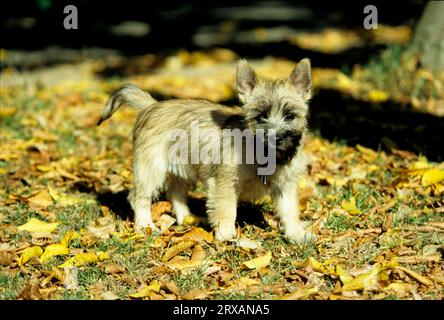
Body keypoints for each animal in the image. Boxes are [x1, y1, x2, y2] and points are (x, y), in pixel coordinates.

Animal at [98, 58, 312, 242]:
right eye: (260, 116)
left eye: (290, 116)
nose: (276, 138)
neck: (265, 155)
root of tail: (152, 106)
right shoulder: (225, 183)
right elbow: (227, 209)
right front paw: (226, 235)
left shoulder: (286, 185)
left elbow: (289, 211)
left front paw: (296, 234)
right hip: (150, 169)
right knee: (139, 197)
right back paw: (145, 226)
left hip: (182, 169)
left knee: (176, 193)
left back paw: (188, 218)